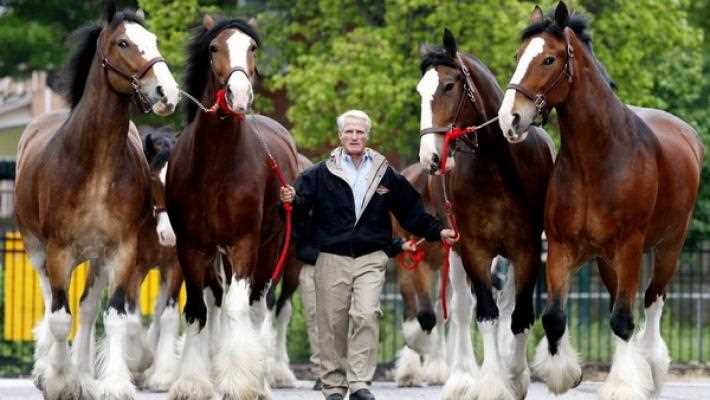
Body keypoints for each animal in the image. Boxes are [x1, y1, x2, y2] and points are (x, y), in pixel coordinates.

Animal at [15, 3, 179, 400]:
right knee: (50, 302)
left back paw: (85, 371)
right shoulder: (59, 251)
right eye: (123, 43)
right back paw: (49, 368)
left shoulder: (122, 252)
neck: (95, 168)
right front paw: (59, 381)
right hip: (38, 250)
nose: (167, 92)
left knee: (88, 310)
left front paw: (114, 383)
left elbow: (115, 317)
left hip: (97, 260)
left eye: (153, 40)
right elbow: (60, 319)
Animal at [167, 15, 300, 400]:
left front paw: (240, 382)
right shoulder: (192, 247)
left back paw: (261, 379)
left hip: (271, 249)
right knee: (217, 302)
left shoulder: (244, 243)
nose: (239, 95)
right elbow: (197, 310)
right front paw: (192, 383)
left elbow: (239, 308)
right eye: (214, 48)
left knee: (256, 304)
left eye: (252, 47)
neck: (215, 166)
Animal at [418, 28, 556, 400]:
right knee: (463, 307)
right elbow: (486, 313)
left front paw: (515, 376)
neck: (498, 168)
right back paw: (462, 377)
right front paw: (493, 383)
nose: (430, 156)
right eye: (420, 90)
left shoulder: (526, 249)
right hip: (453, 248)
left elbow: (518, 314)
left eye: (449, 86)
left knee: (507, 303)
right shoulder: (474, 249)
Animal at [500, 3, 708, 400]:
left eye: (549, 59)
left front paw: (623, 386)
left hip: (668, 247)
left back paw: (651, 370)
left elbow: (625, 320)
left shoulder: (629, 247)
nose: (510, 118)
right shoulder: (562, 247)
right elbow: (554, 316)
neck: (597, 159)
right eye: (518, 56)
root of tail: (687, 134)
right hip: (609, 262)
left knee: (652, 302)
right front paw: (565, 375)